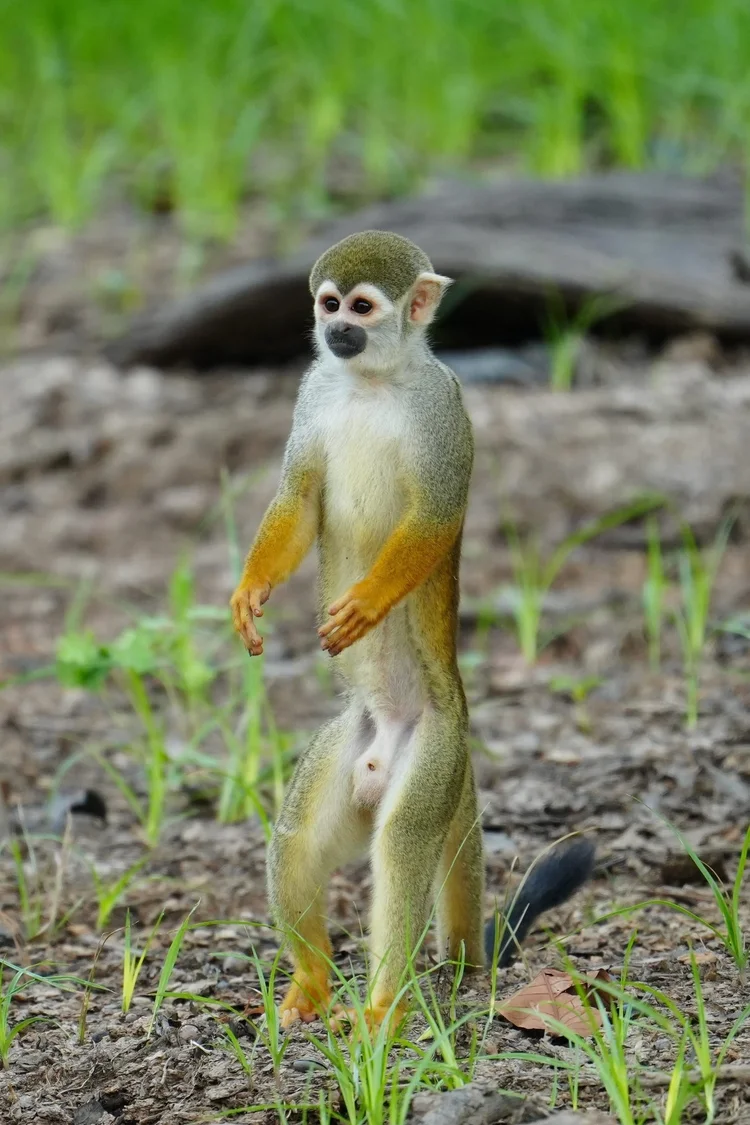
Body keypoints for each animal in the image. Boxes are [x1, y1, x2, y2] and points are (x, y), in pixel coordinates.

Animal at [230, 230, 595, 1032]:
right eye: (328, 304)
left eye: (363, 308)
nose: (337, 331)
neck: (372, 381)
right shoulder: (313, 390)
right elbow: (299, 496)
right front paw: (249, 589)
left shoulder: (444, 407)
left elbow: (434, 514)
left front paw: (367, 601)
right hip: (352, 740)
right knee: (295, 840)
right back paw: (313, 982)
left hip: (434, 754)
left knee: (399, 847)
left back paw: (381, 1008)